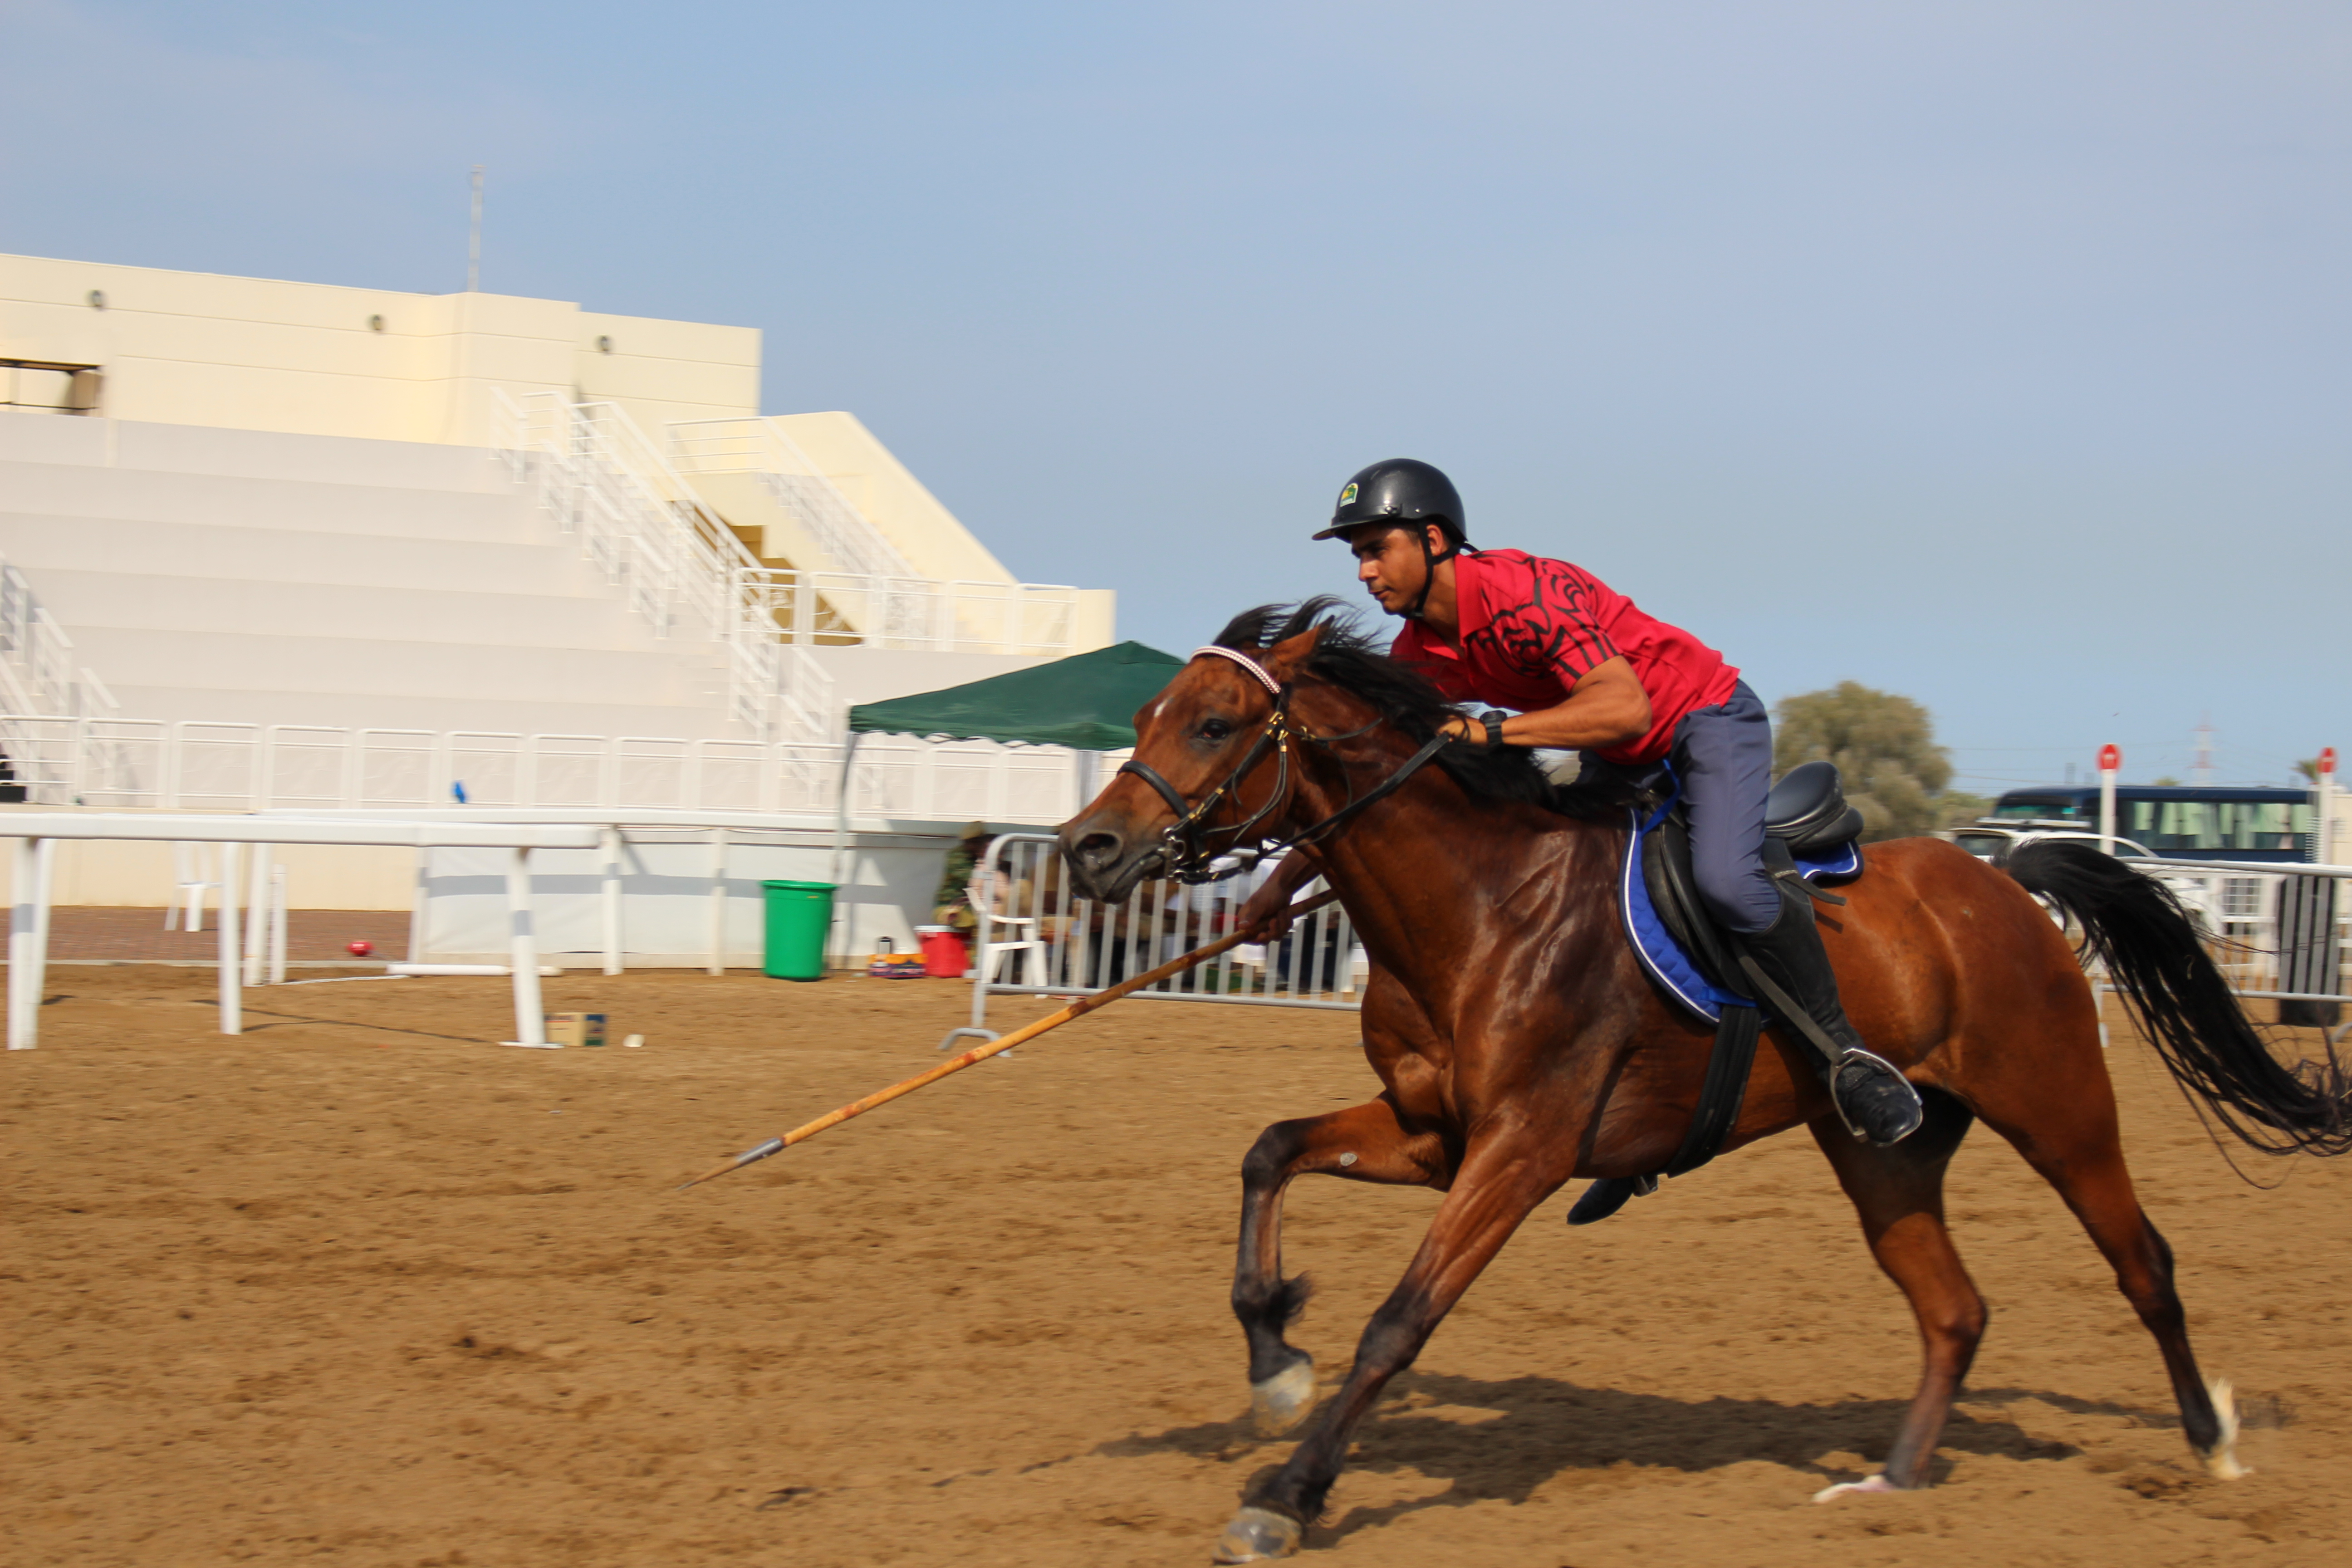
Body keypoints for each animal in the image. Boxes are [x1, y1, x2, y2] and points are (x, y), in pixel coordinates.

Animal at [1055, 600, 2352, 1563]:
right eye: (1146, 714)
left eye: (1214, 722)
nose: (1087, 849)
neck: (1482, 904)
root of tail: (2006, 872)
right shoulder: (1432, 1133)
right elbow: (1268, 1151)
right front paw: (1274, 1363)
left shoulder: (1519, 1150)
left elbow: (1397, 1321)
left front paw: (1287, 1490)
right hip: (1882, 1149)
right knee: (1952, 1308)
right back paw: (1886, 1485)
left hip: (2060, 1107)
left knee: (2144, 1264)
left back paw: (2212, 1445)